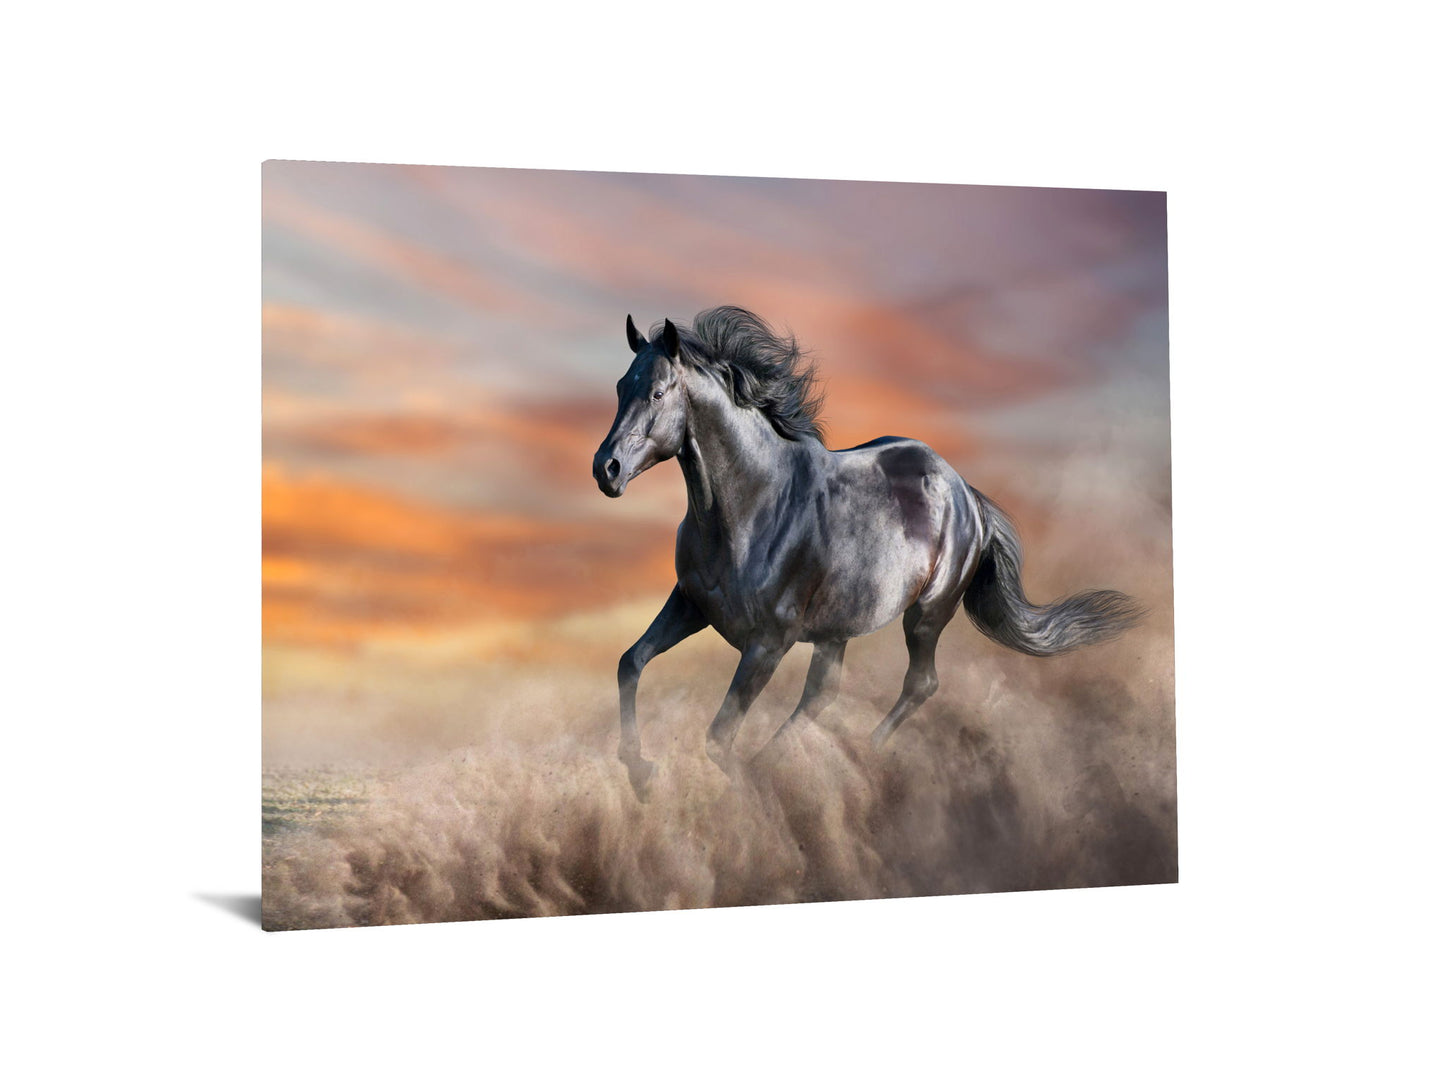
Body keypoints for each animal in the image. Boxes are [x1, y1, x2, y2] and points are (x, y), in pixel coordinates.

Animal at [592, 306, 1142, 797]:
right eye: (620, 387)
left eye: (658, 391)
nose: (606, 469)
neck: (752, 505)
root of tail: (967, 493)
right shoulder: (691, 604)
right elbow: (630, 663)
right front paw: (640, 773)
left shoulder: (767, 643)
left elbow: (719, 739)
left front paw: (746, 794)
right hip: (837, 628)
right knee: (822, 694)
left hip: (926, 615)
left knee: (920, 684)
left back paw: (863, 758)